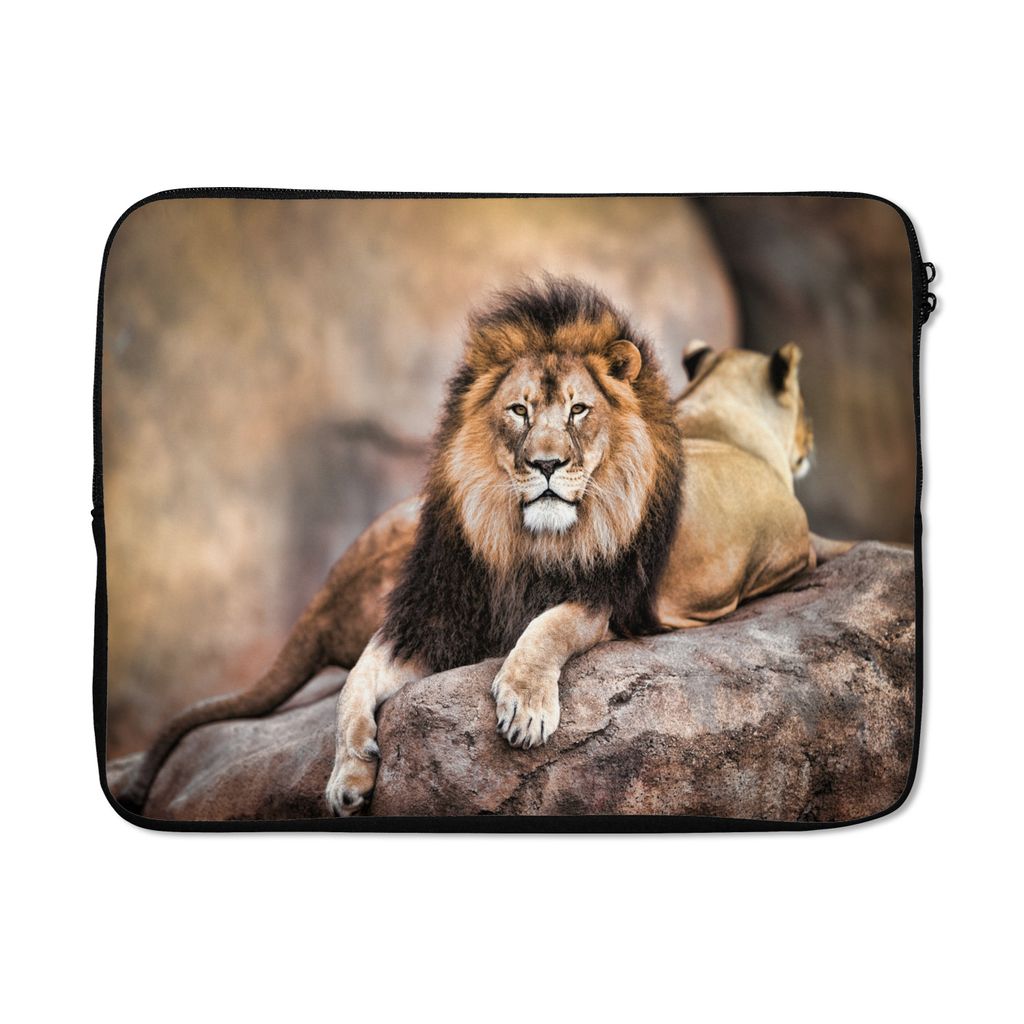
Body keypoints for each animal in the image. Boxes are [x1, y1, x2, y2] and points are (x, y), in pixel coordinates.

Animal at [113, 277, 843, 818]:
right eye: (519, 410)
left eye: (579, 410)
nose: (546, 464)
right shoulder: (432, 617)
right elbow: (355, 684)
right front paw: (349, 773)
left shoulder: (600, 594)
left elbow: (546, 627)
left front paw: (522, 703)